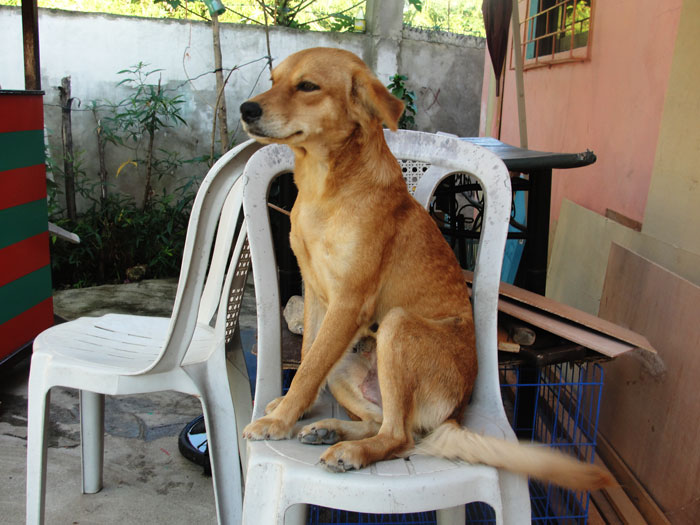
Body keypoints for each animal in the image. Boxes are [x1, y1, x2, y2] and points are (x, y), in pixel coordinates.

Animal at [238, 47, 608, 490]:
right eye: (274, 80)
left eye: (308, 86)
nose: (246, 109)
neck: (326, 189)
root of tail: (454, 415)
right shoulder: (315, 294)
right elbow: (309, 355)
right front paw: (290, 408)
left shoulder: (349, 303)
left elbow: (307, 369)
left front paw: (279, 420)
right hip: (350, 363)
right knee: (386, 423)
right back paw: (332, 430)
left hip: (397, 327)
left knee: (399, 437)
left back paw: (352, 450)